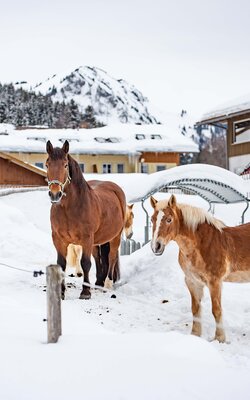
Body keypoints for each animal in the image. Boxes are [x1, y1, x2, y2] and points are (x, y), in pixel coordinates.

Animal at [45, 141, 126, 300]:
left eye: (65, 165)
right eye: (47, 164)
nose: (55, 194)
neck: (69, 208)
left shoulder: (86, 238)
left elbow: (85, 263)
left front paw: (85, 292)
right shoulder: (58, 239)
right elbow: (61, 264)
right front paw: (61, 292)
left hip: (115, 237)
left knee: (112, 256)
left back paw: (107, 284)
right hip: (96, 241)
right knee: (98, 258)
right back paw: (99, 282)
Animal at [150, 195, 250, 342]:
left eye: (169, 219)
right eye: (152, 219)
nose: (156, 246)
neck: (201, 245)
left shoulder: (215, 282)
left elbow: (216, 310)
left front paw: (220, 338)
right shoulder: (192, 282)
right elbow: (195, 308)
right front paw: (195, 335)